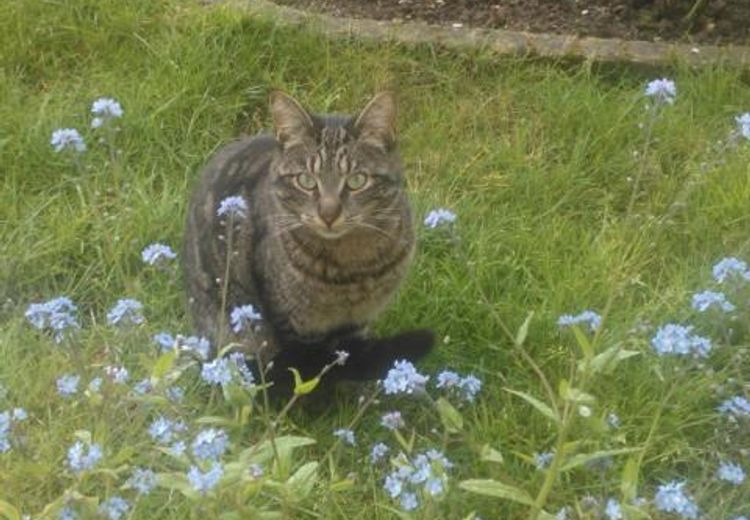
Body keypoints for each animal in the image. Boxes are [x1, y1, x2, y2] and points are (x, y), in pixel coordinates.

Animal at [182, 92, 434, 394]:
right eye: (306, 180)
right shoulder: (292, 325)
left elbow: (348, 357)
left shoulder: (357, 322)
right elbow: (308, 370)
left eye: (357, 180)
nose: (328, 214)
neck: (353, 269)